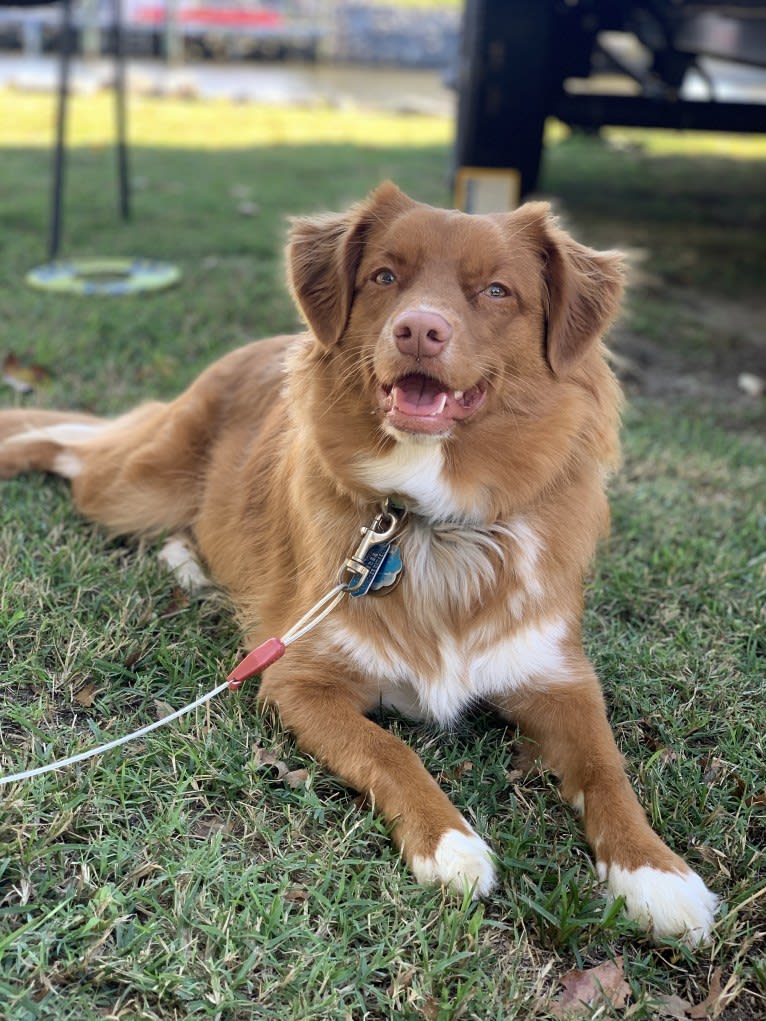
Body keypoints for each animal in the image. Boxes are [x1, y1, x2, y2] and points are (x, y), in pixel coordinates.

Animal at [0, 181, 719, 939]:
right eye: (384, 276)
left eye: (497, 290)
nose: (419, 330)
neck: (433, 521)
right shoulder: (298, 682)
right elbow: (388, 748)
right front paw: (449, 841)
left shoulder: (561, 679)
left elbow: (609, 768)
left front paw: (656, 871)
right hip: (137, 485)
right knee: (76, 452)